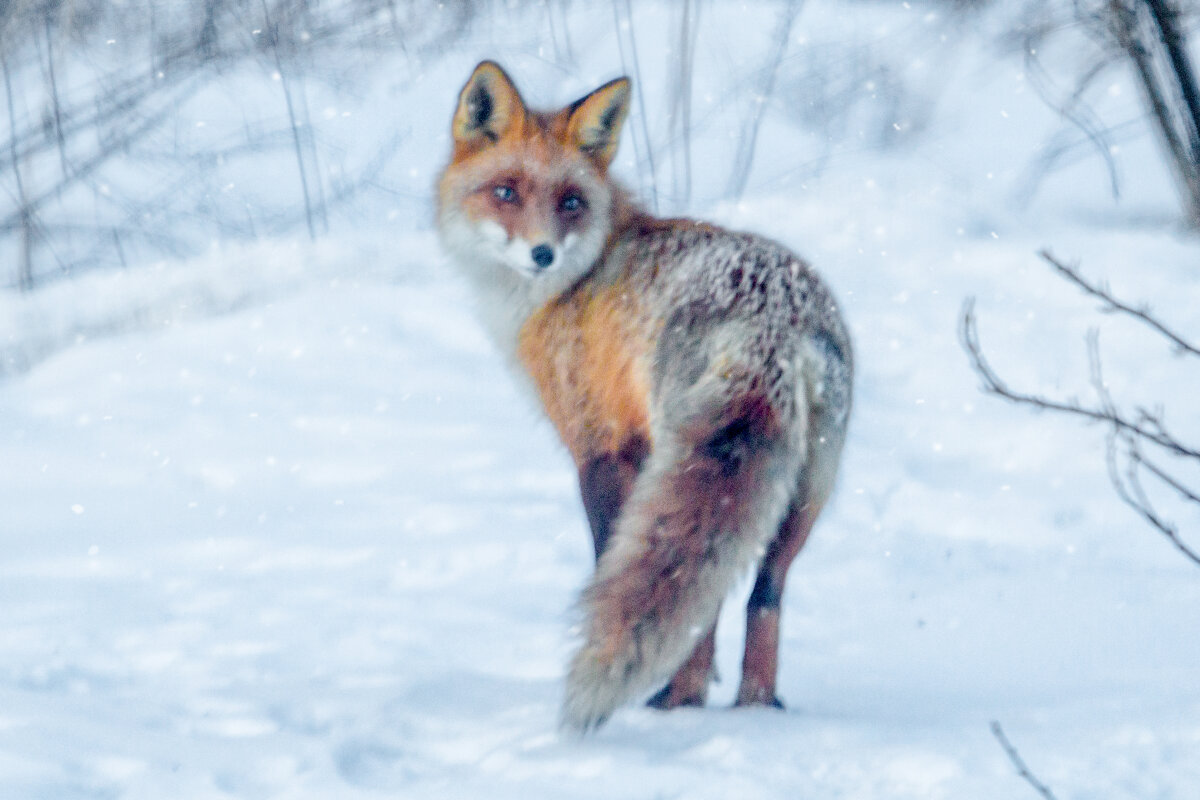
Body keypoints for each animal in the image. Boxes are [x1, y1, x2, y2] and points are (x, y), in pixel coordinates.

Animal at [436, 61, 849, 734]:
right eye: (506, 191)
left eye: (570, 201)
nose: (542, 253)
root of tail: (776, 325)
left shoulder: (600, 448)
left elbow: (609, 561)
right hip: (806, 492)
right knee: (762, 594)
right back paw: (755, 710)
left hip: (687, 461)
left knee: (698, 596)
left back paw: (675, 703)